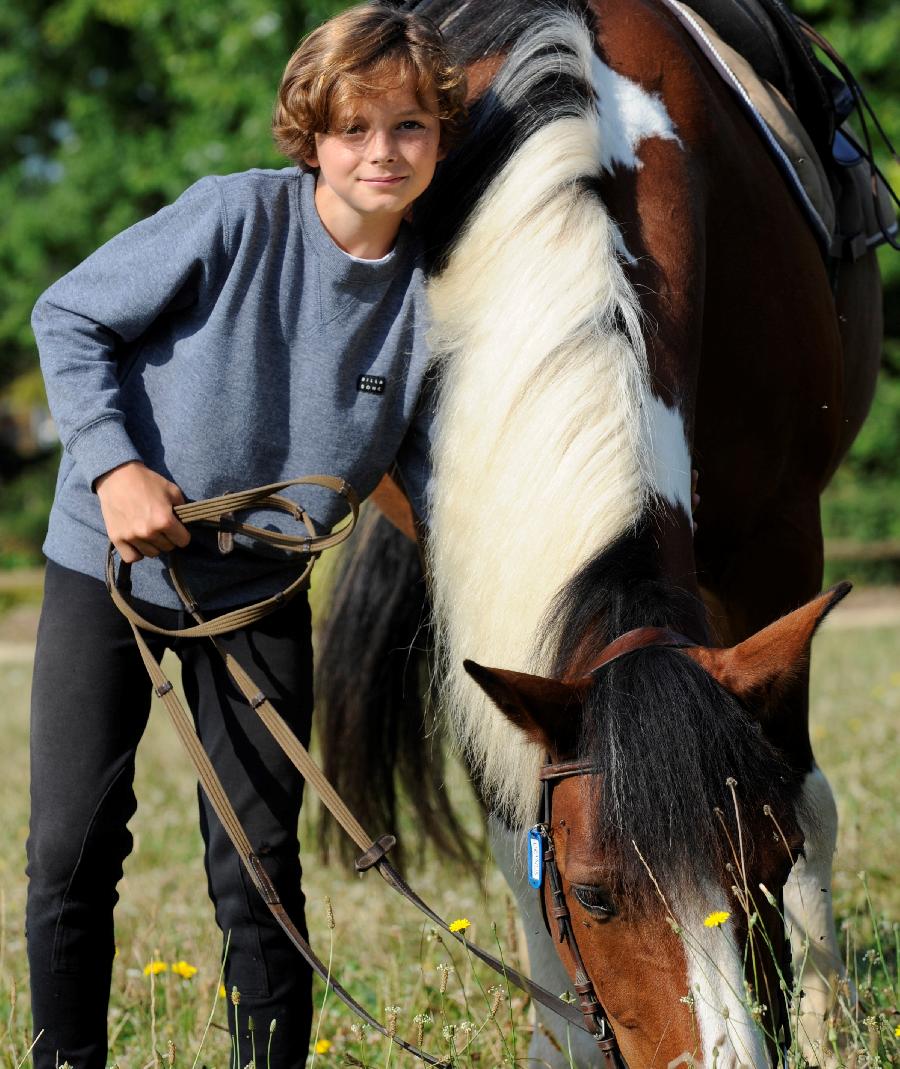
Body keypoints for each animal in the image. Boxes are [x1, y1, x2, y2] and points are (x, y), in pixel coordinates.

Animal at [316, 4, 885, 1064]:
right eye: (595, 896)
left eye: (767, 856)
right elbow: (515, 836)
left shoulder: (779, 537)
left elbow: (806, 786)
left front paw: (825, 1022)